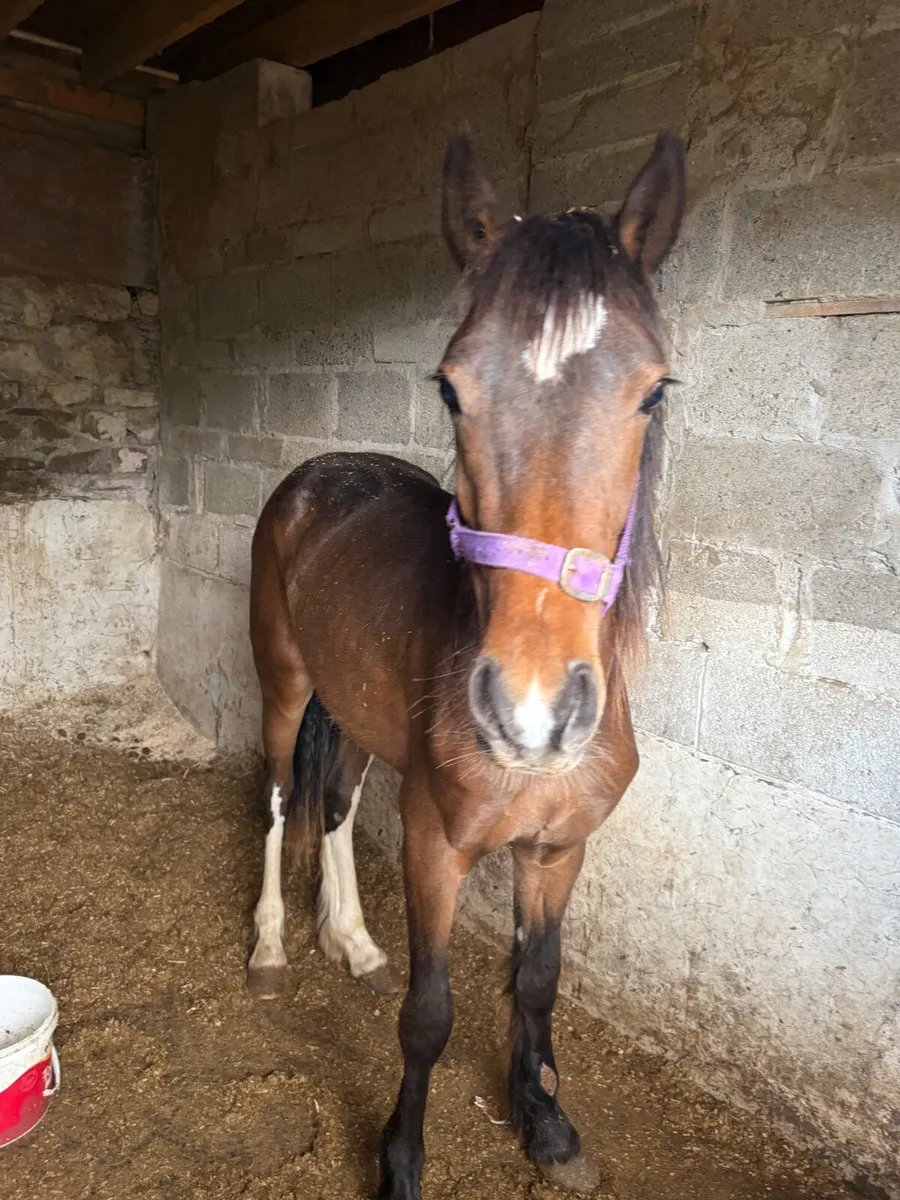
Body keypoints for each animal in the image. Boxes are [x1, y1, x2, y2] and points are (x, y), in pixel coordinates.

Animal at [247, 129, 686, 1198]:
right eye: (450, 386)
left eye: (654, 389)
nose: (530, 713)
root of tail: (314, 477)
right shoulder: (436, 847)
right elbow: (430, 1014)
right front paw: (400, 1159)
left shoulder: (557, 852)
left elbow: (536, 981)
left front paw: (547, 1122)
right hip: (283, 684)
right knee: (278, 797)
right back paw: (272, 945)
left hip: (354, 714)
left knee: (335, 804)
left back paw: (352, 942)